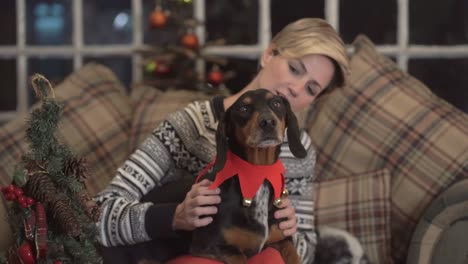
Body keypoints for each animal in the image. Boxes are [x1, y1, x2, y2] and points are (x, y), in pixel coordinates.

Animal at [190, 89, 308, 264]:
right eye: (243, 108)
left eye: (276, 103)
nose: (268, 122)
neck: (258, 173)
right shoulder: (210, 246)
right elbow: (239, 257)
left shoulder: (281, 239)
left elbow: (293, 254)